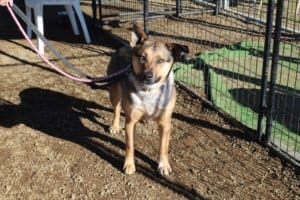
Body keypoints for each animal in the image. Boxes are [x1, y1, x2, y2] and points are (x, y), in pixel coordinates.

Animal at [106, 24, 189, 176]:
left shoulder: (165, 123)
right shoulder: (130, 122)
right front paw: (129, 164)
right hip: (114, 91)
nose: (147, 76)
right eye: (142, 57)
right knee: (117, 108)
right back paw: (115, 125)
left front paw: (163, 165)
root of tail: (125, 46)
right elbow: (130, 145)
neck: (149, 91)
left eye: (161, 60)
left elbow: (163, 146)